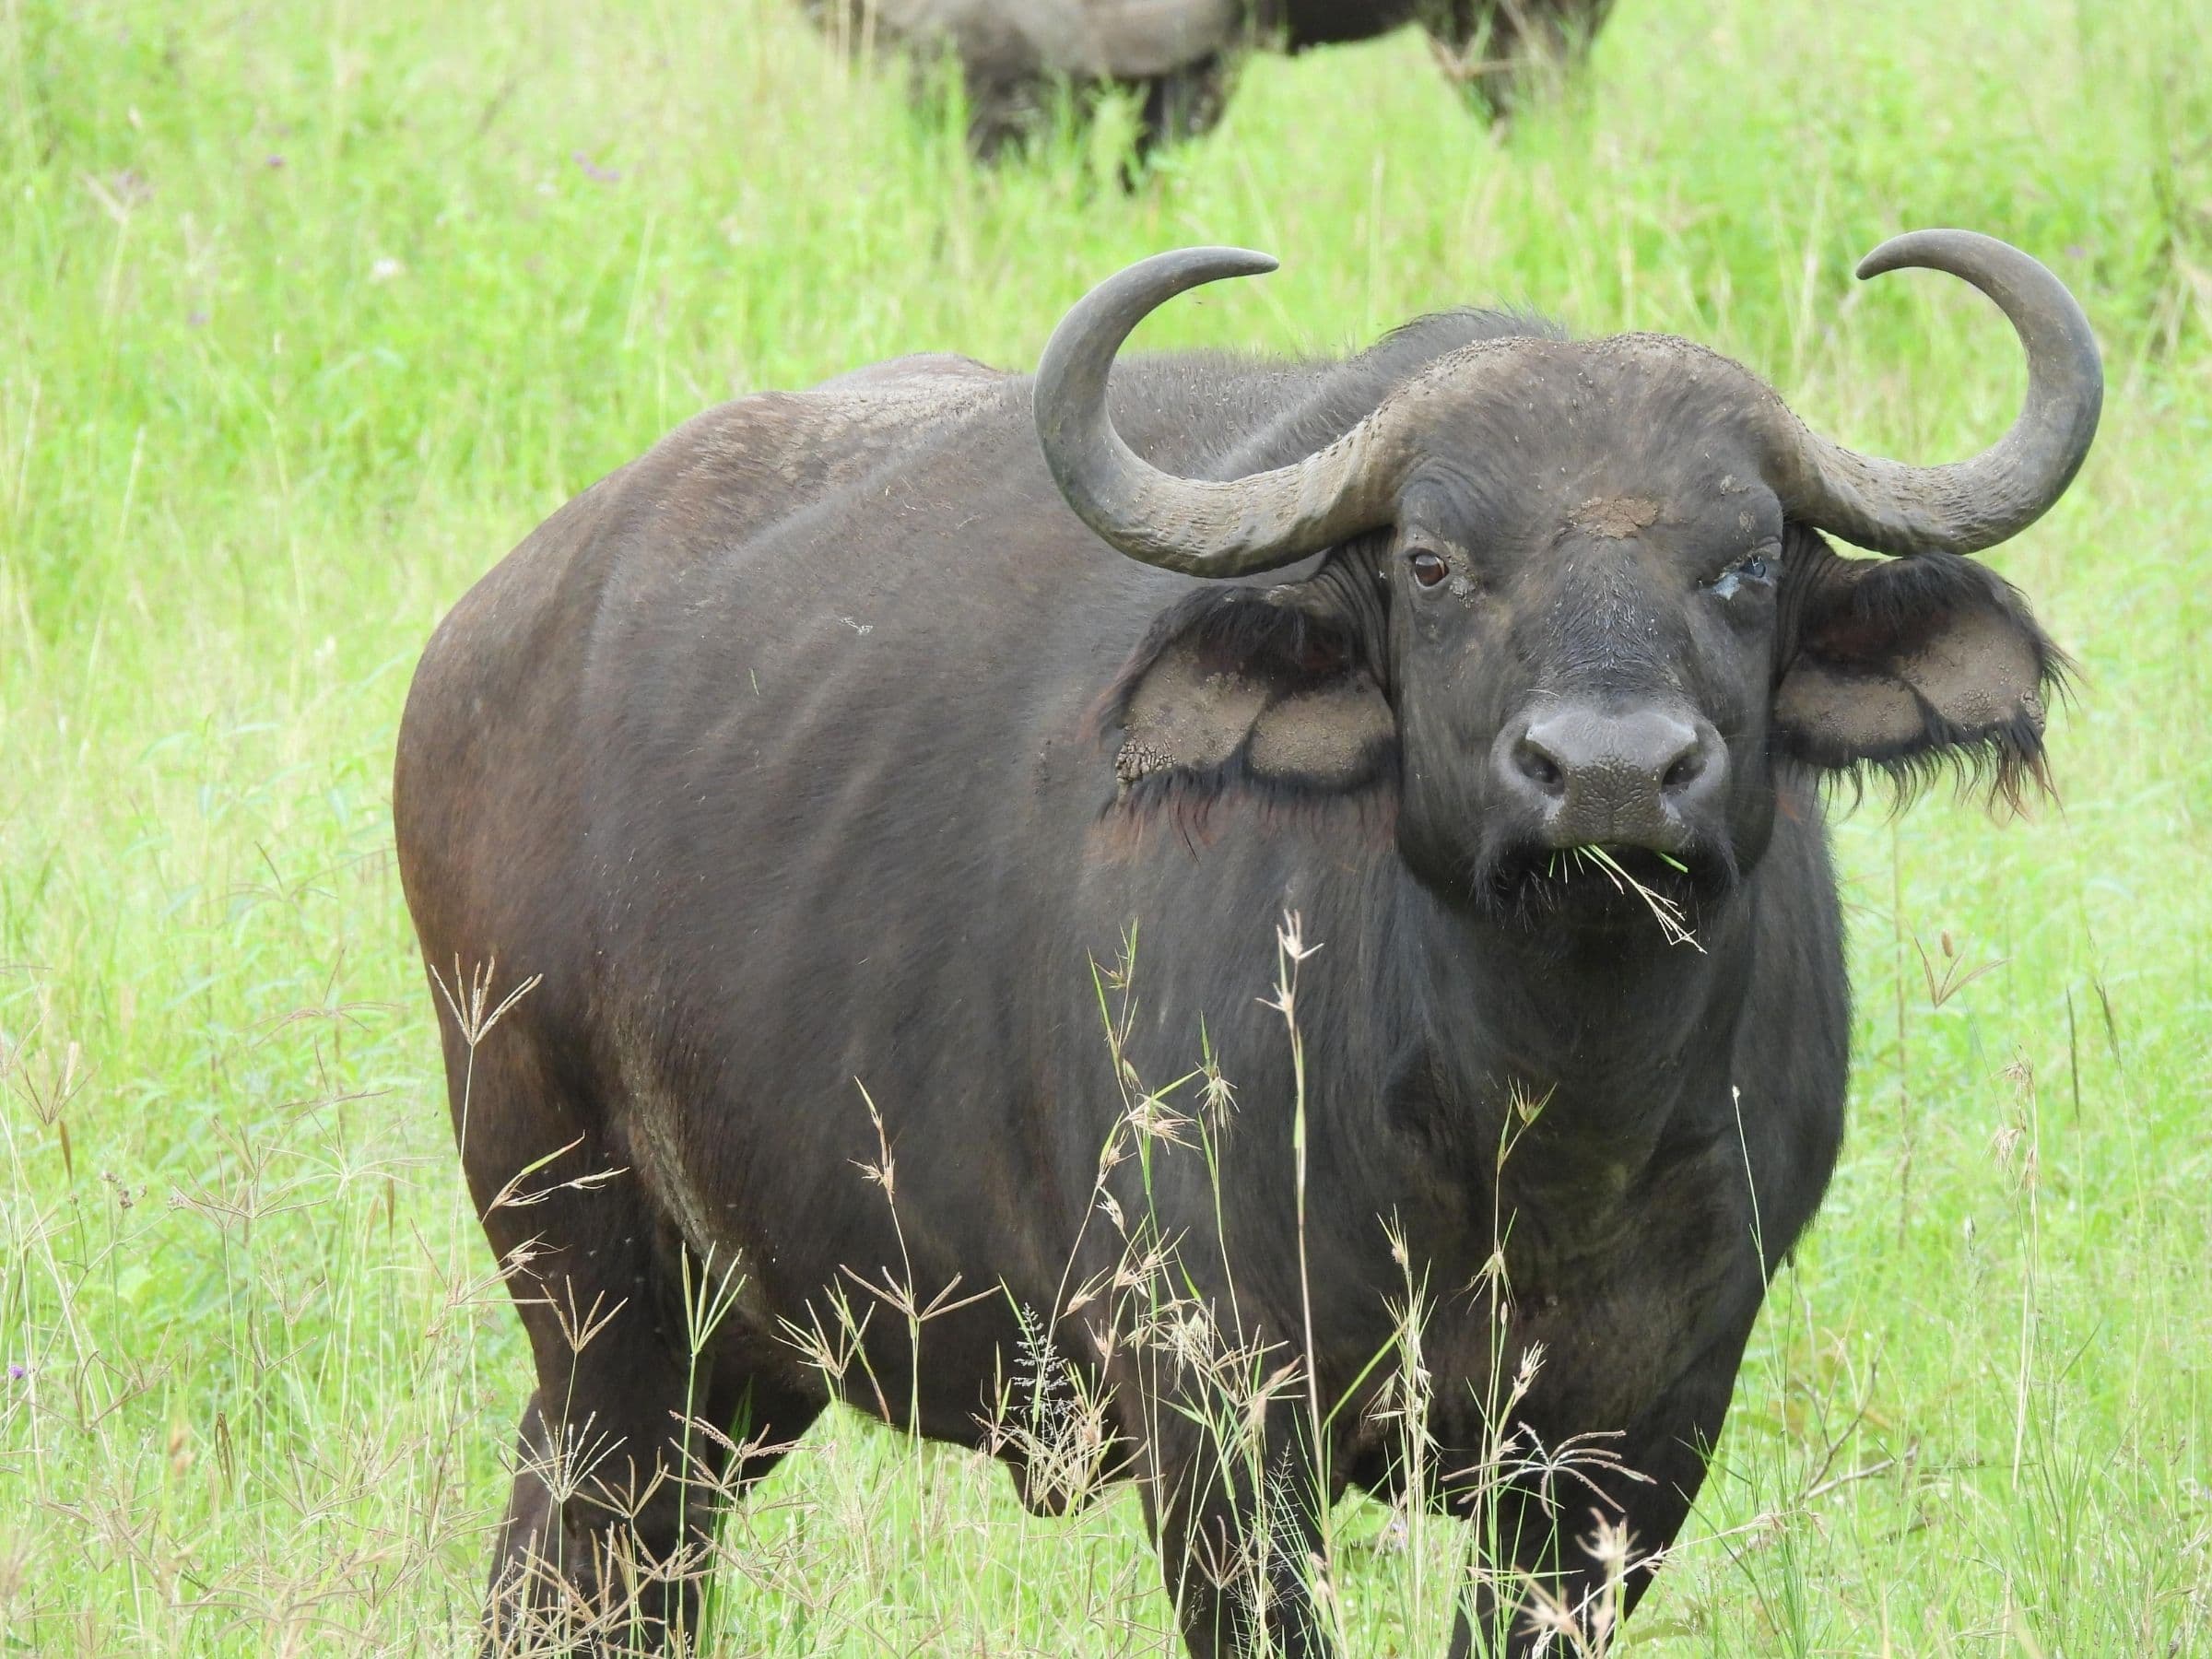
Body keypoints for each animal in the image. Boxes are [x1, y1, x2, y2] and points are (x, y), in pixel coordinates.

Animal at [393, 229, 2099, 1655]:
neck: (1526, 1124)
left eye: (1747, 562)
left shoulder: (1638, 1443)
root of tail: (483, 641)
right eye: (1432, 563)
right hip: (590, 1281)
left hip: (735, 1356)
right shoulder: (1218, 1413)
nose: (1613, 770)